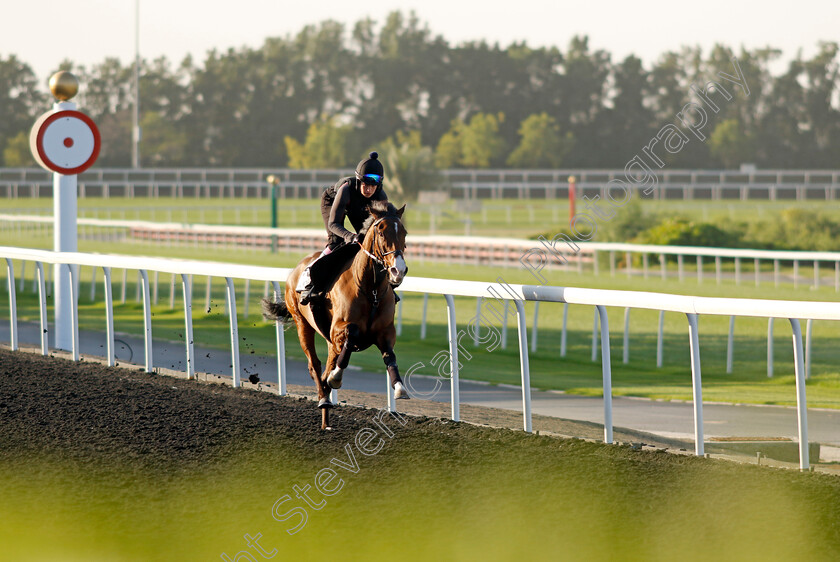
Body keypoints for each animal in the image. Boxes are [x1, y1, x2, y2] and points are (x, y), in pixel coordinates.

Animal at [260, 201, 408, 428]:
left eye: (405, 233)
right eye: (381, 232)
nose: (398, 270)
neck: (371, 289)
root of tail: (296, 268)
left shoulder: (385, 332)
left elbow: (390, 356)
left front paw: (399, 387)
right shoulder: (338, 329)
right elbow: (352, 333)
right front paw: (337, 377)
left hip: (327, 340)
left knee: (325, 369)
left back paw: (326, 417)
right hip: (302, 323)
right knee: (315, 365)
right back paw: (323, 399)